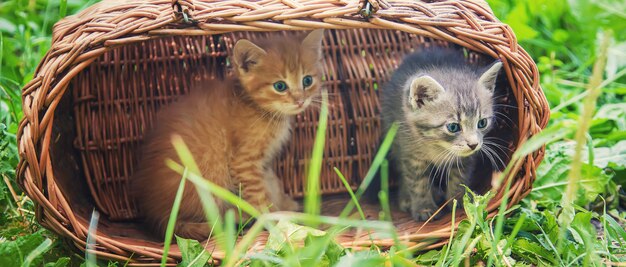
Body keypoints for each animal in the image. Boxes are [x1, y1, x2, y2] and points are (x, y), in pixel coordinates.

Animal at [133, 29, 324, 241]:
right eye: (280, 86)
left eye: (307, 80)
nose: (300, 101)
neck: (259, 109)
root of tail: (156, 214)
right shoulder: (244, 161)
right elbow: (259, 196)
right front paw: (275, 219)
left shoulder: (263, 164)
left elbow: (272, 182)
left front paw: (285, 204)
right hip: (212, 176)